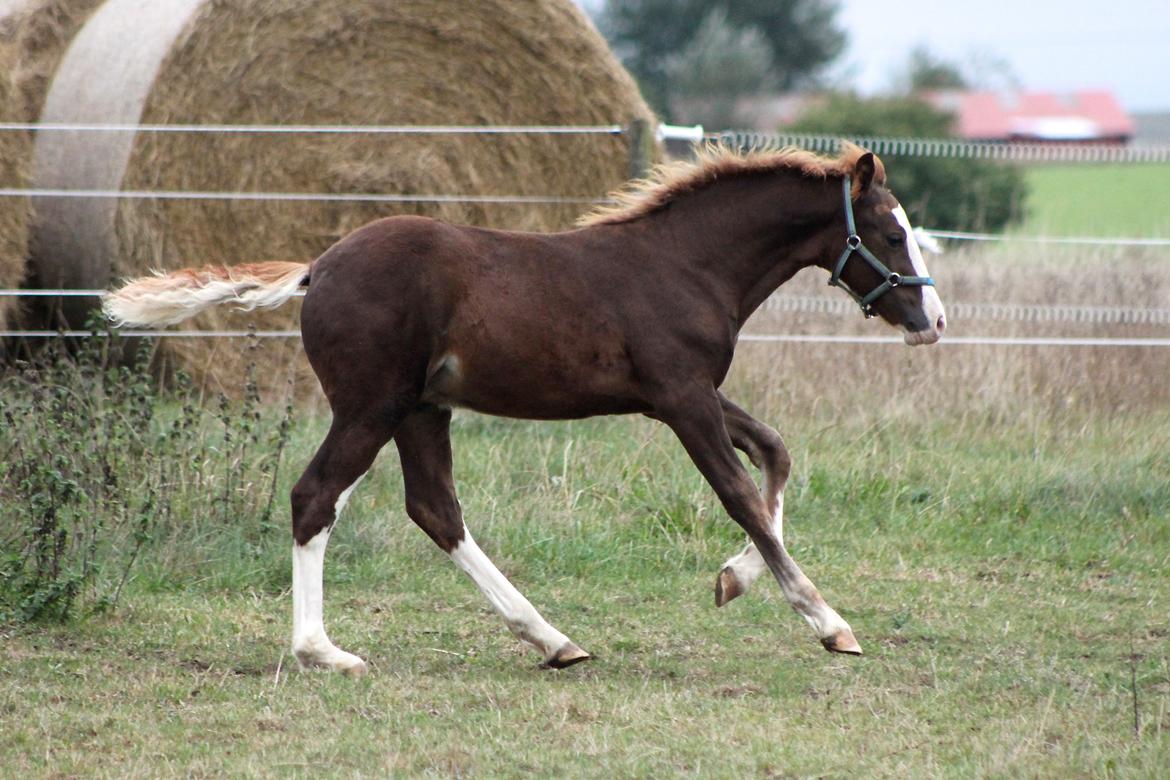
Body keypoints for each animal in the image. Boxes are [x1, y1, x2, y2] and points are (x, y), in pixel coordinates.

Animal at [105, 145, 945, 678]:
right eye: (891, 231)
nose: (932, 321)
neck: (684, 264)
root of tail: (318, 267)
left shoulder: (683, 395)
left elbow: (775, 452)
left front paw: (731, 581)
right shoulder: (681, 399)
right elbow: (741, 493)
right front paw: (828, 623)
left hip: (421, 410)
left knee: (435, 509)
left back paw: (552, 640)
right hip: (371, 405)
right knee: (317, 497)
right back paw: (325, 652)